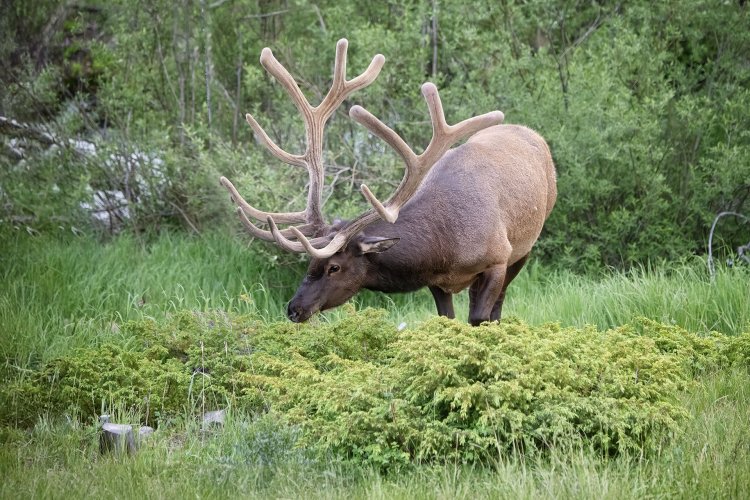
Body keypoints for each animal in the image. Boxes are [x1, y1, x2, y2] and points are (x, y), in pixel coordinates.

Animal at [220, 40, 556, 328]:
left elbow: (480, 318)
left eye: (334, 267)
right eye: (310, 264)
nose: (294, 309)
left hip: (525, 247)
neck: (445, 248)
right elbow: (446, 319)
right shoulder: (437, 282)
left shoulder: (498, 258)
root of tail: (532, 133)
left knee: (498, 305)